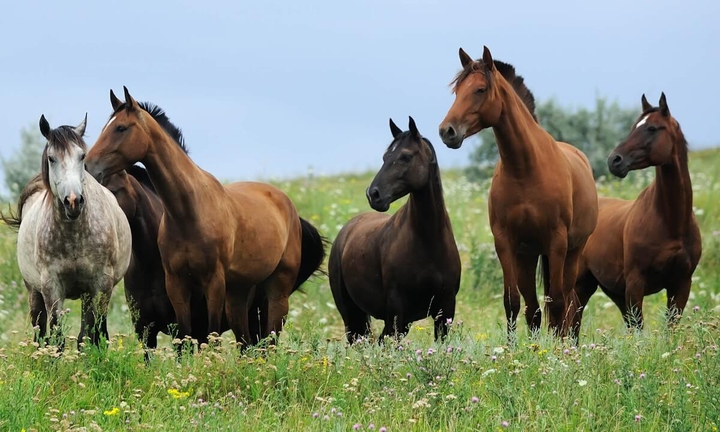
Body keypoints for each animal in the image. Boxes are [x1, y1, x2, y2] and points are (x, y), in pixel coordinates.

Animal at [1, 115, 132, 349]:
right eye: (51, 158)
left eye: (81, 156)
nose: (73, 201)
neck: (74, 236)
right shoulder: (51, 287)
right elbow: (57, 337)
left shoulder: (100, 285)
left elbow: (95, 335)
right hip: (33, 291)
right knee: (40, 331)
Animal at [85, 87, 326, 350]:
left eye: (121, 128)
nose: (87, 165)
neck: (188, 214)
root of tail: (288, 206)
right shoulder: (176, 286)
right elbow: (184, 338)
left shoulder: (214, 284)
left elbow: (211, 335)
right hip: (238, 296)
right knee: (247, 345)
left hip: (277, 292)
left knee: (269, 340)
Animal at [329, 117, 461, 343]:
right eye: (385, 157)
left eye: (406, 156)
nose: (373, 194)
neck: (429, 242)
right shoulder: (397, 310)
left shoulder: (445, 309)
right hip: (351, 314)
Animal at [438, 46, 599, 341]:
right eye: (457, 91)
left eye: (480, 89)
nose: (447, 131)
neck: (525, 171)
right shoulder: (505, 243)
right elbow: (512, 302)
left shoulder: (557, 243)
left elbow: (557, 303)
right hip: (528, 256)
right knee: (534, 307)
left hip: (572, 252)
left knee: (568, 301)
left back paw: (568, 342)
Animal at [574, 93, 702, 331]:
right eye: (634, 127)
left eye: (652, 128)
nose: (614, 160)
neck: (672, 222)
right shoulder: (635, 284)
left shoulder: (681, 284)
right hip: (579, 283)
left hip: (611, 291)